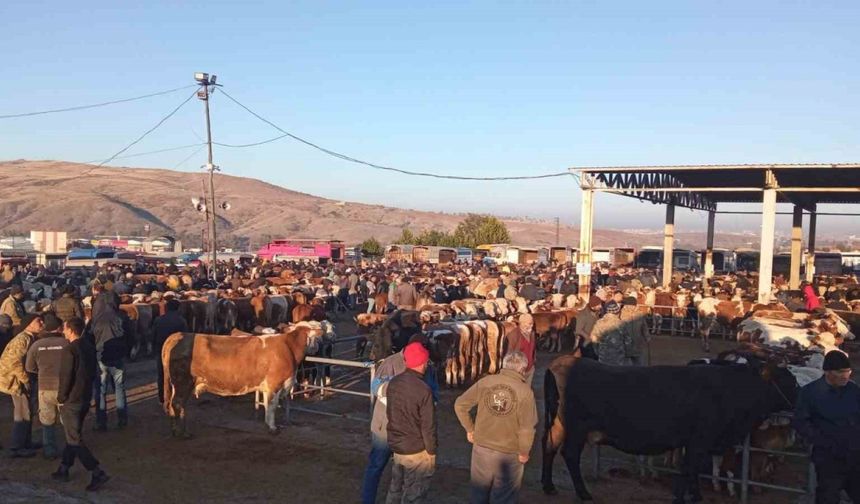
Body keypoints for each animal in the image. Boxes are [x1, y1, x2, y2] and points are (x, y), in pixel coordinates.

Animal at [160, 322, 326, 438]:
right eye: (316, 335)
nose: (319, 348)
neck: (288, 347)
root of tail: (179, 335)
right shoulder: (274, 384)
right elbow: (272, 406)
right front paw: (273, 428)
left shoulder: (267, 386)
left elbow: (267, 405)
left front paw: (267, 424)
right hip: (183, 382)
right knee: (177, 404)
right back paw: (181, 433)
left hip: (179, 385)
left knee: (176, 404)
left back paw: (178, 431)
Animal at [540, 354, 796, 504]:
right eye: (789, 381)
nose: (799, 398)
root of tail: (560, 363)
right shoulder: (699, 440)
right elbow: (689, 469)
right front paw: (689, 496)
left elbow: (689, 469)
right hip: (577, 428)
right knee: (569, 454)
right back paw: (583, 493)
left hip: (560, 424)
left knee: (549, 446)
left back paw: (549, 486)